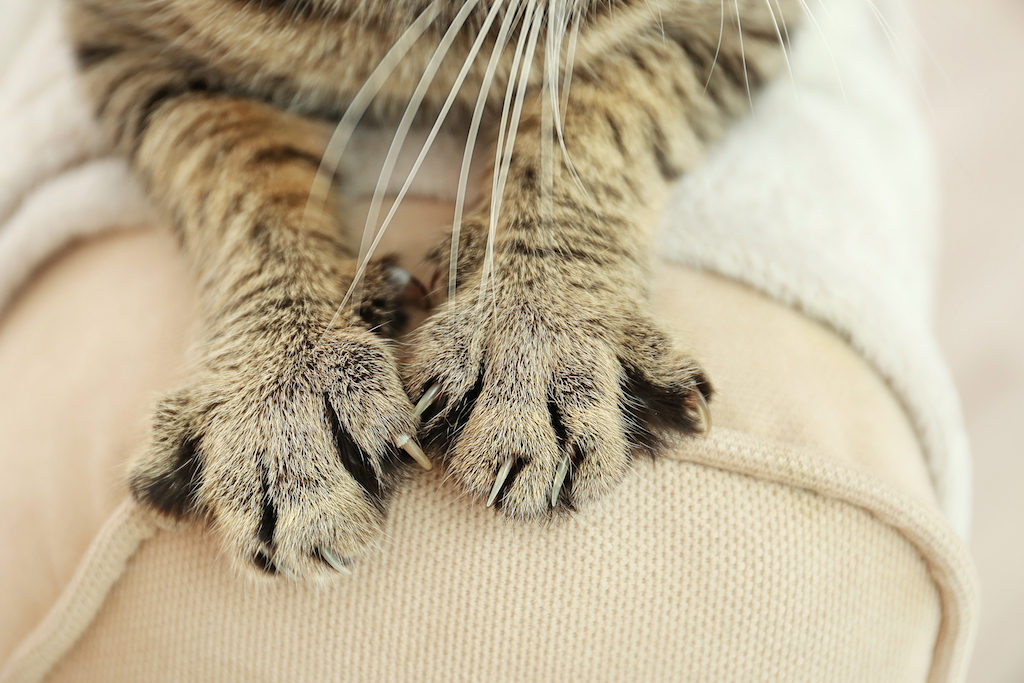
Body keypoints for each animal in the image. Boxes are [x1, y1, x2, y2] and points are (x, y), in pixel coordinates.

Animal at [64, 0, 798, 581]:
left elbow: (585, 112)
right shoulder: (125, 41)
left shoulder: (737, 21)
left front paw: (535, 329)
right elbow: (238, 175)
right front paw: (282, 393)